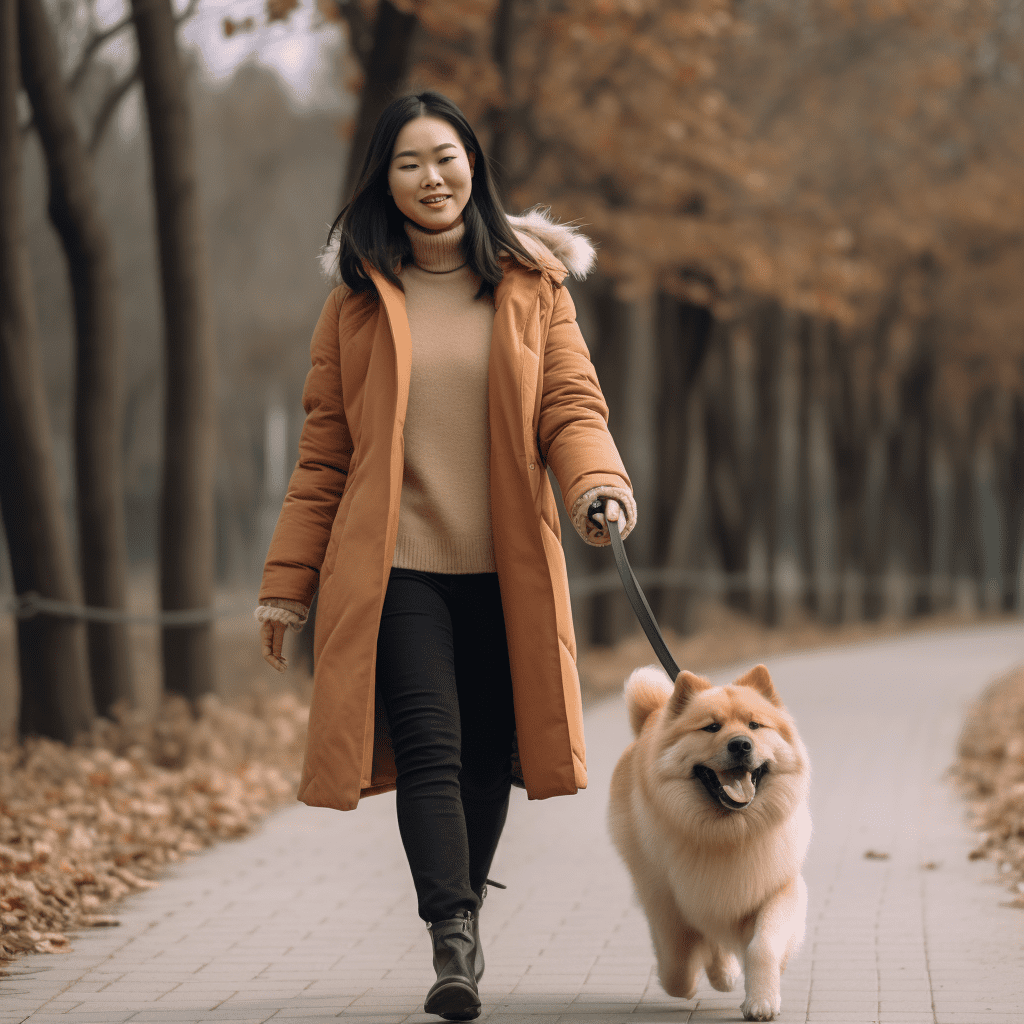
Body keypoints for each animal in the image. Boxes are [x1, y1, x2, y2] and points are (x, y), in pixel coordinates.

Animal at [606, 659, 806, 1019]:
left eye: (755, 725)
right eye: (712, 727)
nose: (741, 744)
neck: (729, 834)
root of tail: (652, 716)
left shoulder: (778, 888)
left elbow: (763, 945)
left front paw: (761, 1000)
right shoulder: (670, 902)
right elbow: (676, 964)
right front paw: (687, 983)